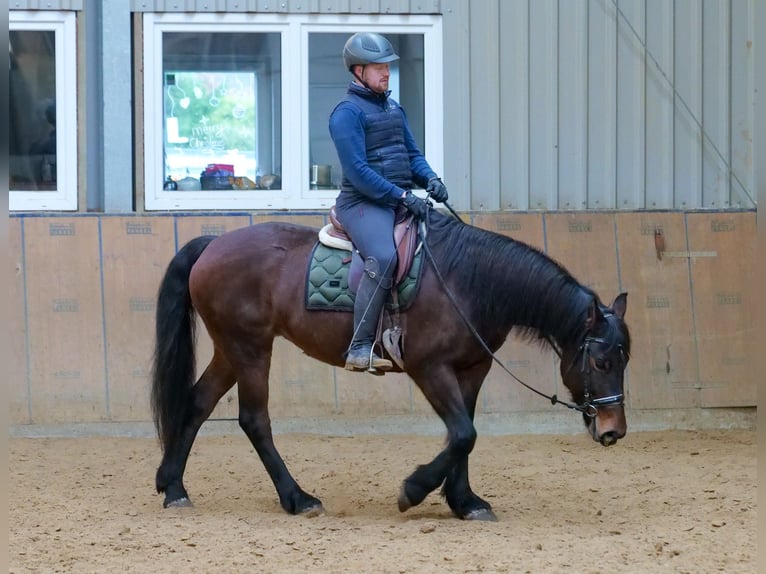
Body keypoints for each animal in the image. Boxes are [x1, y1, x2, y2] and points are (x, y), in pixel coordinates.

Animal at [150, 210, 632, 520]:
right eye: (601, 360)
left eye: (626, 359)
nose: (614, 431)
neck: (468, 281)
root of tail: (214, 244)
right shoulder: (429, 367)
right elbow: (463, 433)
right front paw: (413, 491)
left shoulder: (472, 369)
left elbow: (466, 434)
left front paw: (466, 501)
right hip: (250, 349)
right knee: (254, 419)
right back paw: (298, 498)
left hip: (232, 349)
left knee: (197, 404)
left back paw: (174, 488)